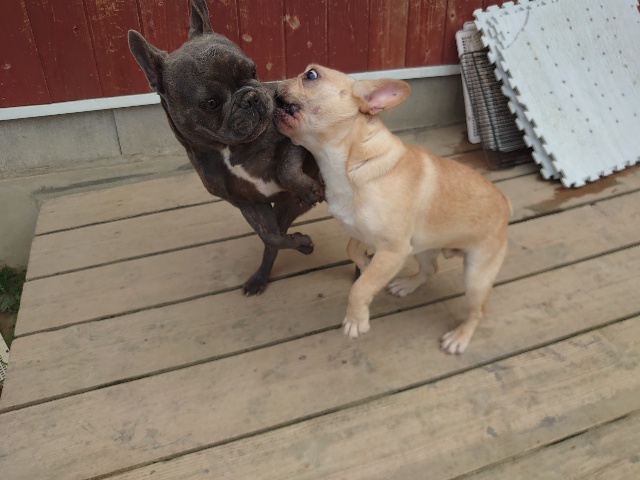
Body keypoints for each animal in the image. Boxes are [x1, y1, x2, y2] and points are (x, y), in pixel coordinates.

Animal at [128, 0, 322, 296]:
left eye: (253, 71)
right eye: (211, 103)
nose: (252, 97)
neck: (230, 149)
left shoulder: (297, 134)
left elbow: (286, 166)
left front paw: (307, 188)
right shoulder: (249, 203)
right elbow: (271, 237)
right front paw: (300, 243)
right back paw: (260, 277)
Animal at [274, 65, 511, 354]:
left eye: (311, 75)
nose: (275, 82)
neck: (350, 163)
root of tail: (505, 203)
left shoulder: (393, 250)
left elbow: (360, 288)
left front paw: (356, 320)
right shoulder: (363, 234)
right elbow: (352, 251)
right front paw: (366, 265)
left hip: (477, 274)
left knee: (478, 310)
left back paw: (460, 337)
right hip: (423, 247)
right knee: (430, 269)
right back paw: (407, 285)